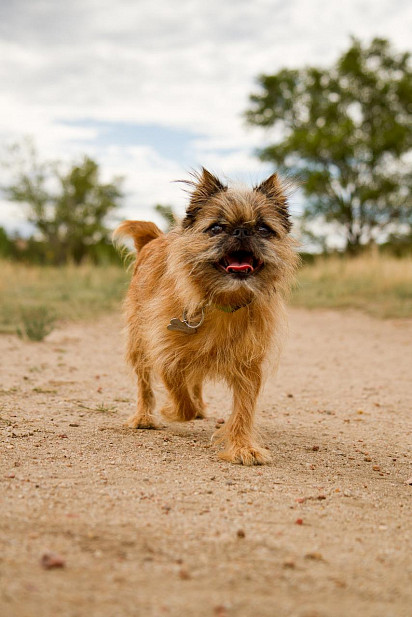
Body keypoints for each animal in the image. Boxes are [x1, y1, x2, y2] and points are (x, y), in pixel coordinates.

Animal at [114, 166, 298, 464]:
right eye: (216, 228)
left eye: (262, 228)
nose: (242, 231)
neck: (225, 301)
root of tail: (152, 240)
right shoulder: (166, 354)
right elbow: (180, 395)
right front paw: (171, 411)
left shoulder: (250, 366)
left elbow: (243, 409)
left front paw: (243, 446)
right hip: (138, 343)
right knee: (144, 383)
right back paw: (144, 416)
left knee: (196, 379)